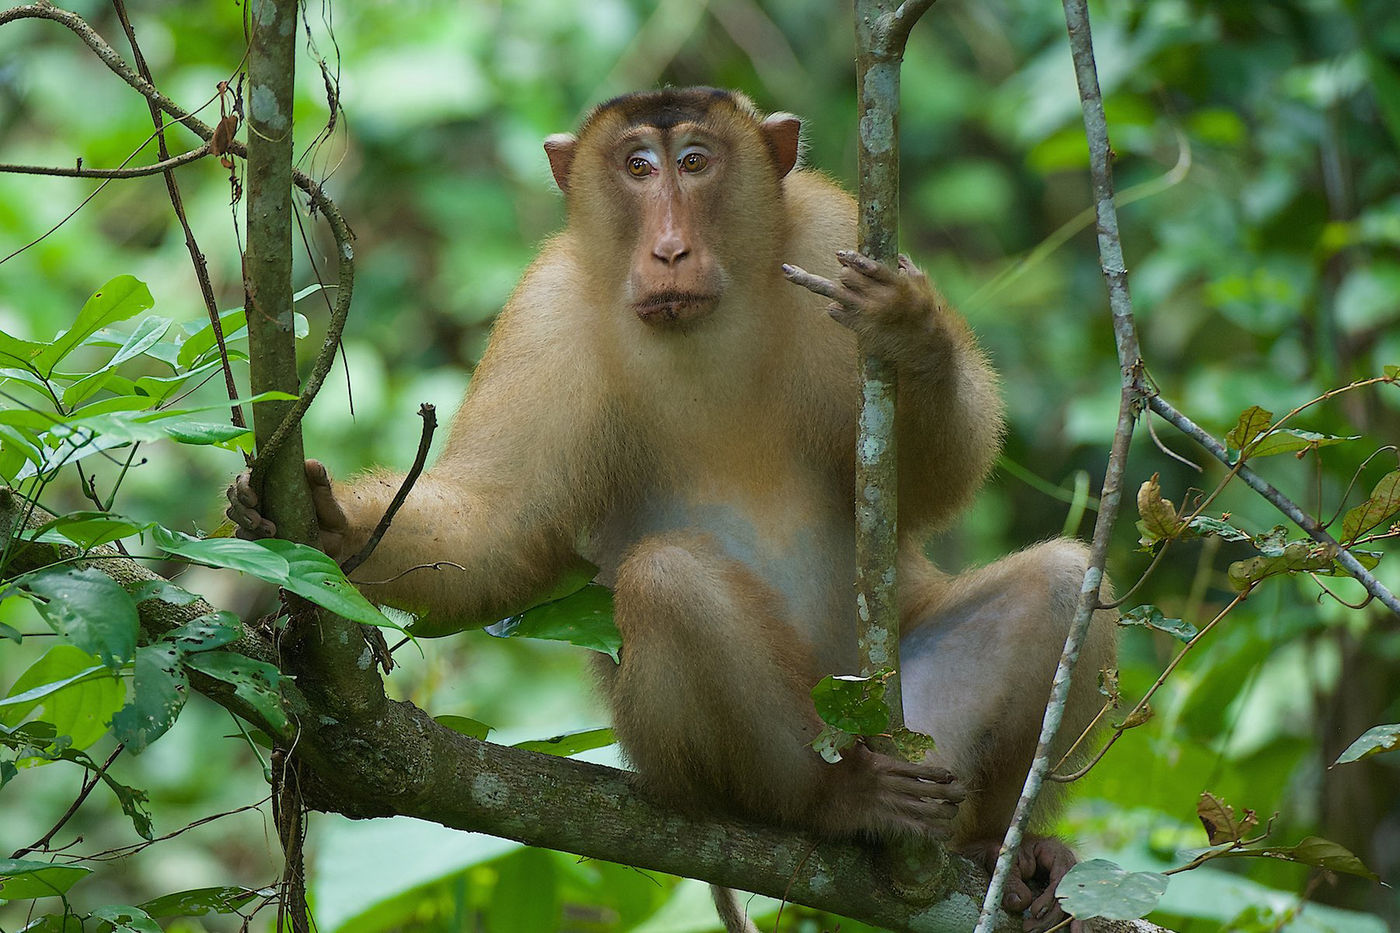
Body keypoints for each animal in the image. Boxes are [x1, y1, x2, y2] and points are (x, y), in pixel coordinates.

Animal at [228, 87, 1116, 932]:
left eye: (694, 161)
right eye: (637, 168)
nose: (669, 249)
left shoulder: (829, 229)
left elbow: (925, 489)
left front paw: (909, 327)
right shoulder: (546, 309)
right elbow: (501, 526)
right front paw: (329, 519)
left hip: (914, 724)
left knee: (1062, 583)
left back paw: (998, 849)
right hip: (716, 752)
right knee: (668, 576)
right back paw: (830, 802)